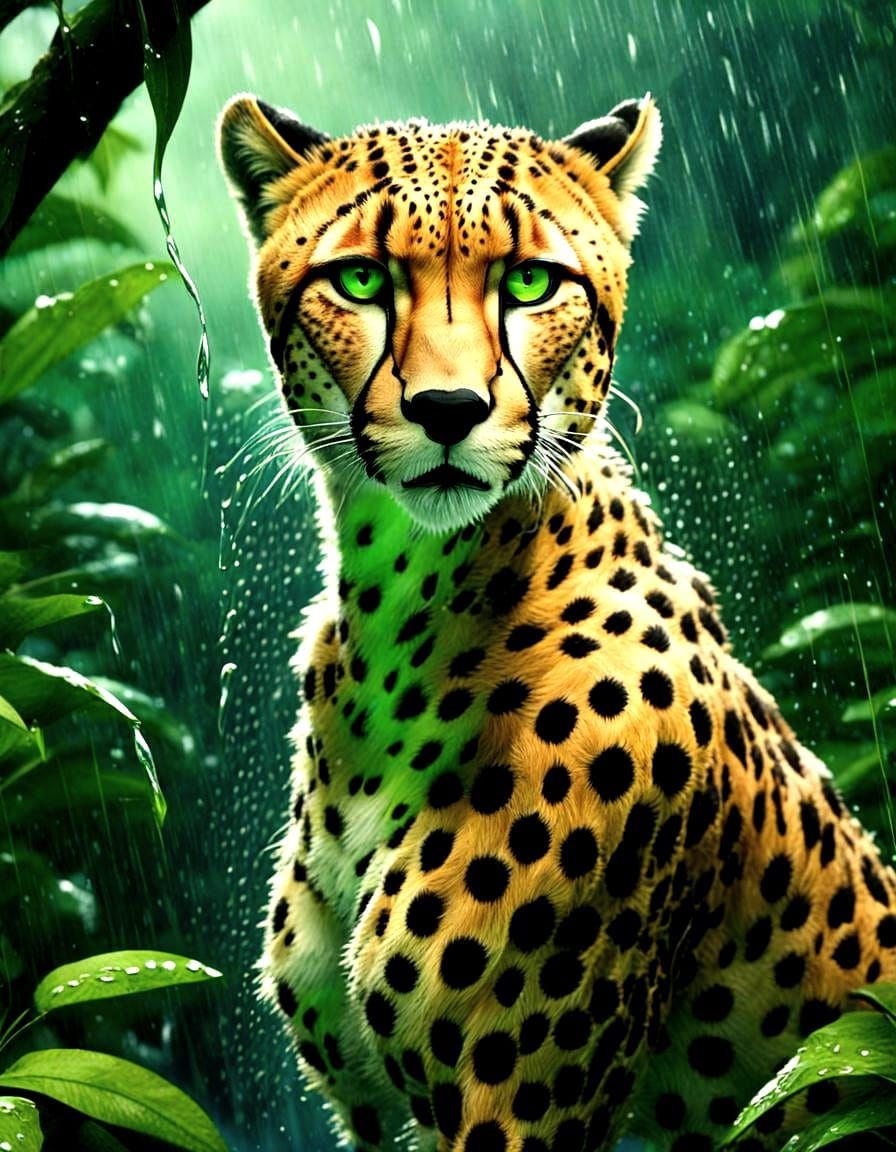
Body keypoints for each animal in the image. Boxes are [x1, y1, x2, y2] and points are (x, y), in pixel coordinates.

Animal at [217, 91, 896, 1152]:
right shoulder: (375, 1116)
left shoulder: (511, 1115)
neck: (398, 607)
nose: (448, 408)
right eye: (361, 278)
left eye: (532, 281)